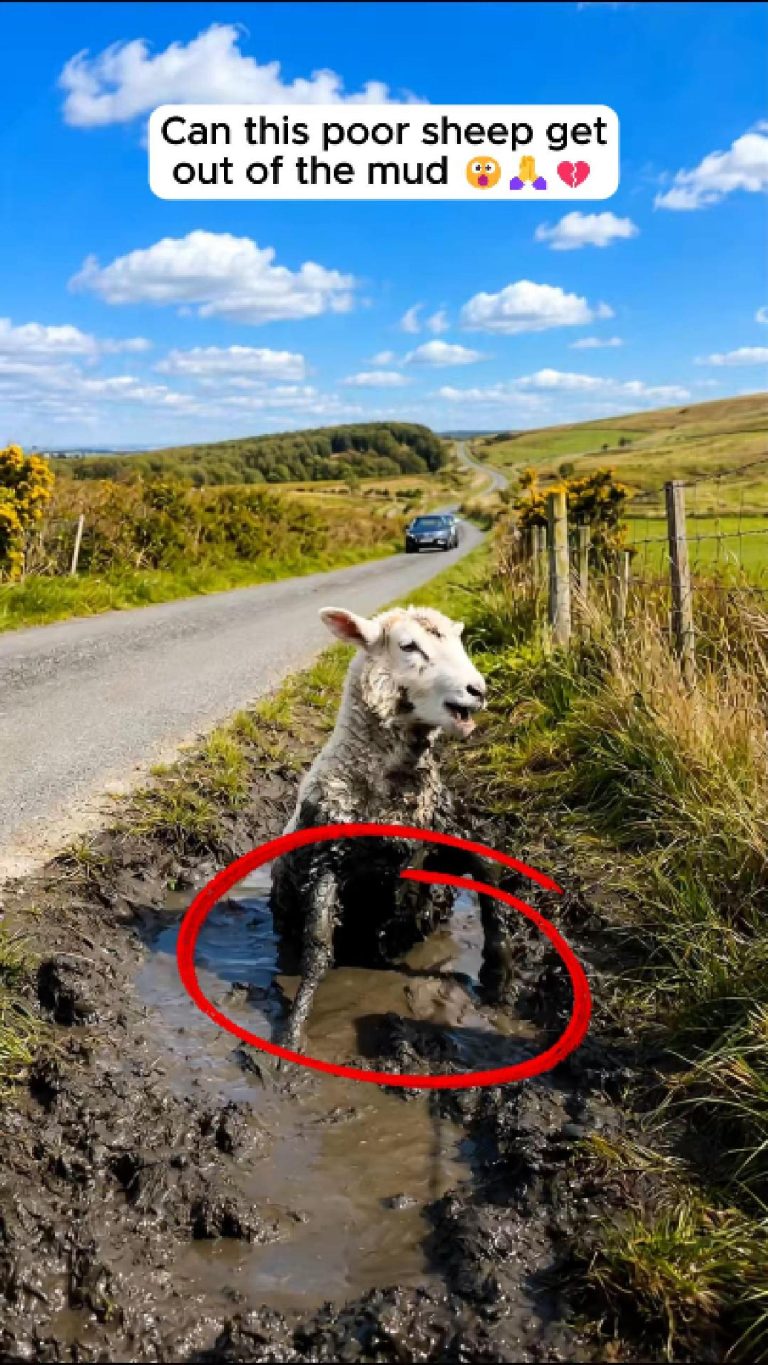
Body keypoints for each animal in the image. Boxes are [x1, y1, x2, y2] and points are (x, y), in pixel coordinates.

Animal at [270, 603, 517, 1051]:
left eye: (459, 638)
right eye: (408, 646)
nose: (477, 690)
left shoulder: (440, 839)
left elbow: (488, 869)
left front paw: (498, 979)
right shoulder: (324, 863)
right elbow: (318, 946)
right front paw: (293, 1032)